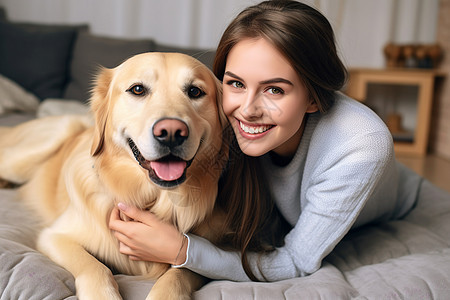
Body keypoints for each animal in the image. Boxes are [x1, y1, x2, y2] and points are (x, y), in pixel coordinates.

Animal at [0, 52, 229, 298]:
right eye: (137, 89)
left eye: (195, 91)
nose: (171, 133)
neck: (152, 198)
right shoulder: (54, 236)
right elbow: (94, 266)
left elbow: (181, 271)